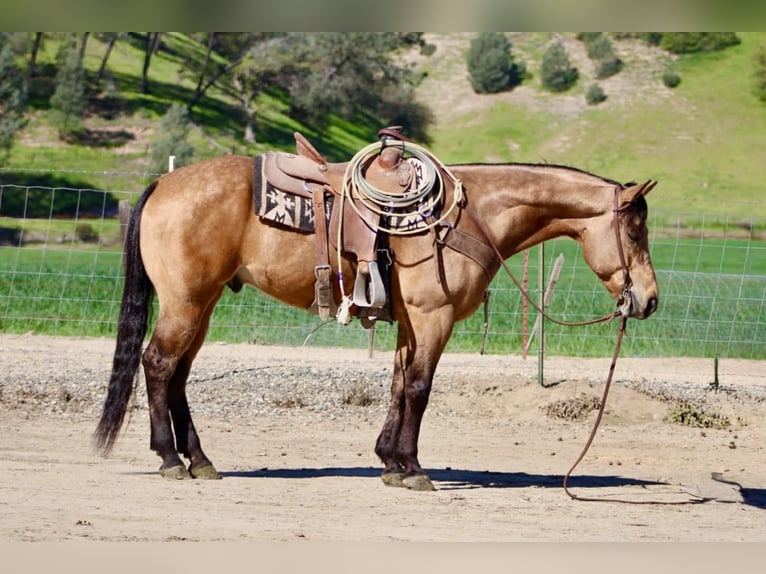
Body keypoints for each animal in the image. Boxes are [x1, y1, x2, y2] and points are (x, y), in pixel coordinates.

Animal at [94, 136, 658, 491]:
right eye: (635, 231)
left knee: (178, 374)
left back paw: (200, 460)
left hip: (202, 304)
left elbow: (397, 385)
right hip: (186, 303)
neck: (468, 214)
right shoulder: (433, 317)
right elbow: (419, 388)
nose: (649, 300)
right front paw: (413, 468)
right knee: (159, 365)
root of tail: (162, 185)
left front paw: (389, 460)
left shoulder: (410, 322)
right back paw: (170, 459)